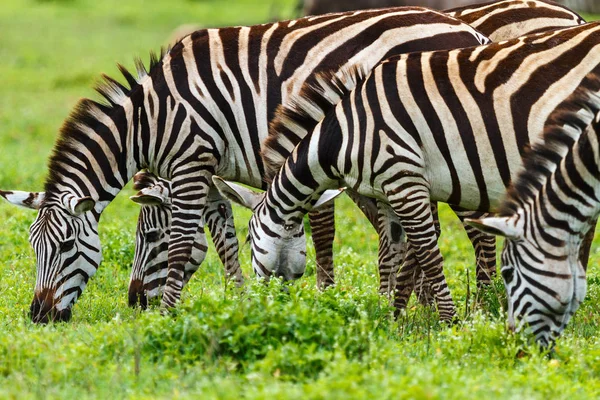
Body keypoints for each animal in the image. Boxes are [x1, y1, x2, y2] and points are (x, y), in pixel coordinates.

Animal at [0, 7, 488, 322]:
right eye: (32, 248)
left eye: (65, 247)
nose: (39, 316)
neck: (150, 120)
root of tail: (468, 30)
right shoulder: (209, 173)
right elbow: (225, 242)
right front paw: (241, 301)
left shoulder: (190, 164)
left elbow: (187, 243)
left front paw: (168, 315)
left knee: (473, 226)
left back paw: (475, 306)